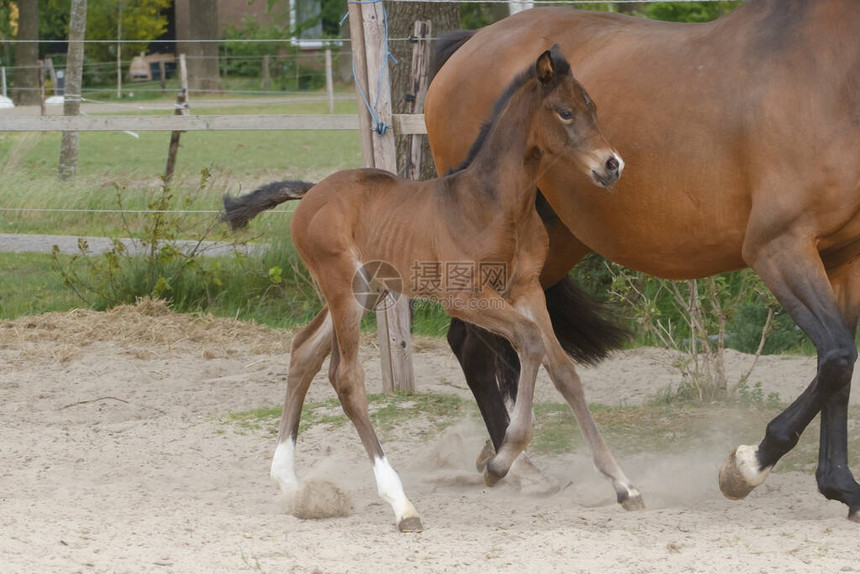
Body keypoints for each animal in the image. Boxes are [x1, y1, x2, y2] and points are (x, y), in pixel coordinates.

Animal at [222, 46, 640, 536]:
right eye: (566, 112)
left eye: (594, 109)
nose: (612, 165)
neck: (496, 204)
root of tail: (311, 193)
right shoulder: (463, 296)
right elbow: (530, 342)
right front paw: (497, 465)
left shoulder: (527, 290)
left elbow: (563, 370)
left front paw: (623, 485)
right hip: (344, 291)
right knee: (346, 378)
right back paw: (402, 504)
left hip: (364, 293)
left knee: (304, 350)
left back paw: (289, 483)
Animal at [428, 0, 860, 520]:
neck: (831, 76)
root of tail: (471, 45)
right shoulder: (779, 247)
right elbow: (836, 357)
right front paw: (746, 467)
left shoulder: (843, 259)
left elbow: (838, 366)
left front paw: (840, 484)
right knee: (476, 345)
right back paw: (519, 469)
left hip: (549, 248)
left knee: (480, 341)